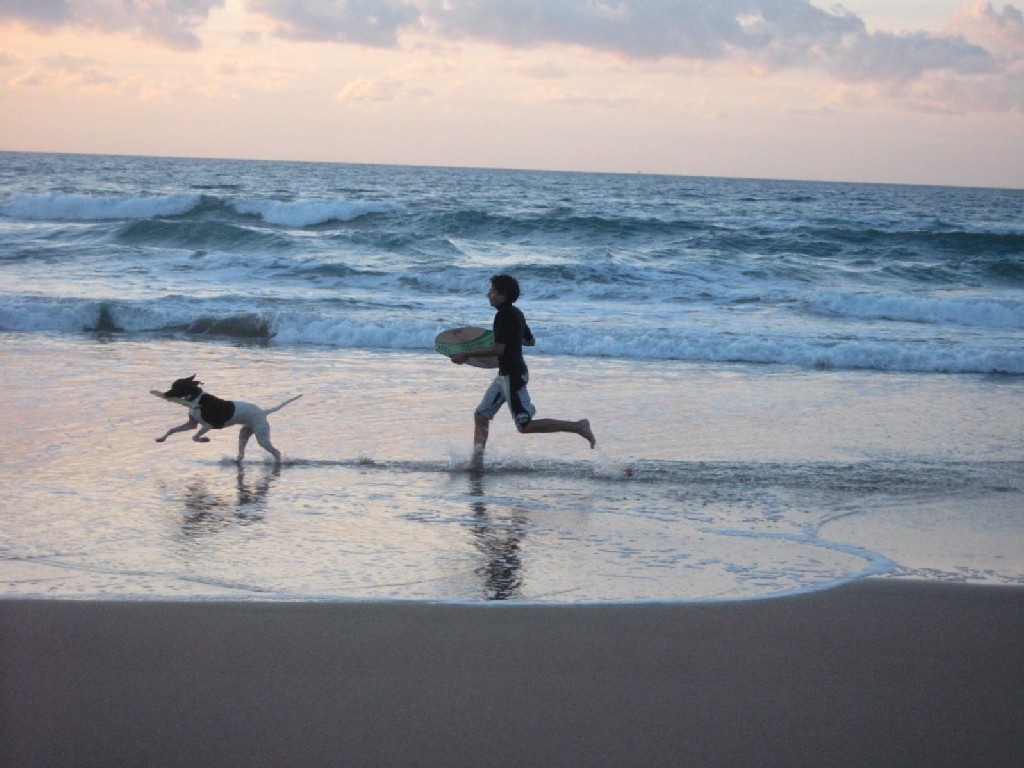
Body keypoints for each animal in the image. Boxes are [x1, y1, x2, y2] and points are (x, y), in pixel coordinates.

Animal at [151, 374, 301, 462]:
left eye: (176, 387)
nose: (165, 394)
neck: (196, 398)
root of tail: (264, 412)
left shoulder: (208, 425)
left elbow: (194, 437)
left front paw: (204, 439)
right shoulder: (191, 424)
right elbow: (172, 430)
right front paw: (161, 438)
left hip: (262, 437)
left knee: (276, 452)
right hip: (244, 434)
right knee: (242, 453)